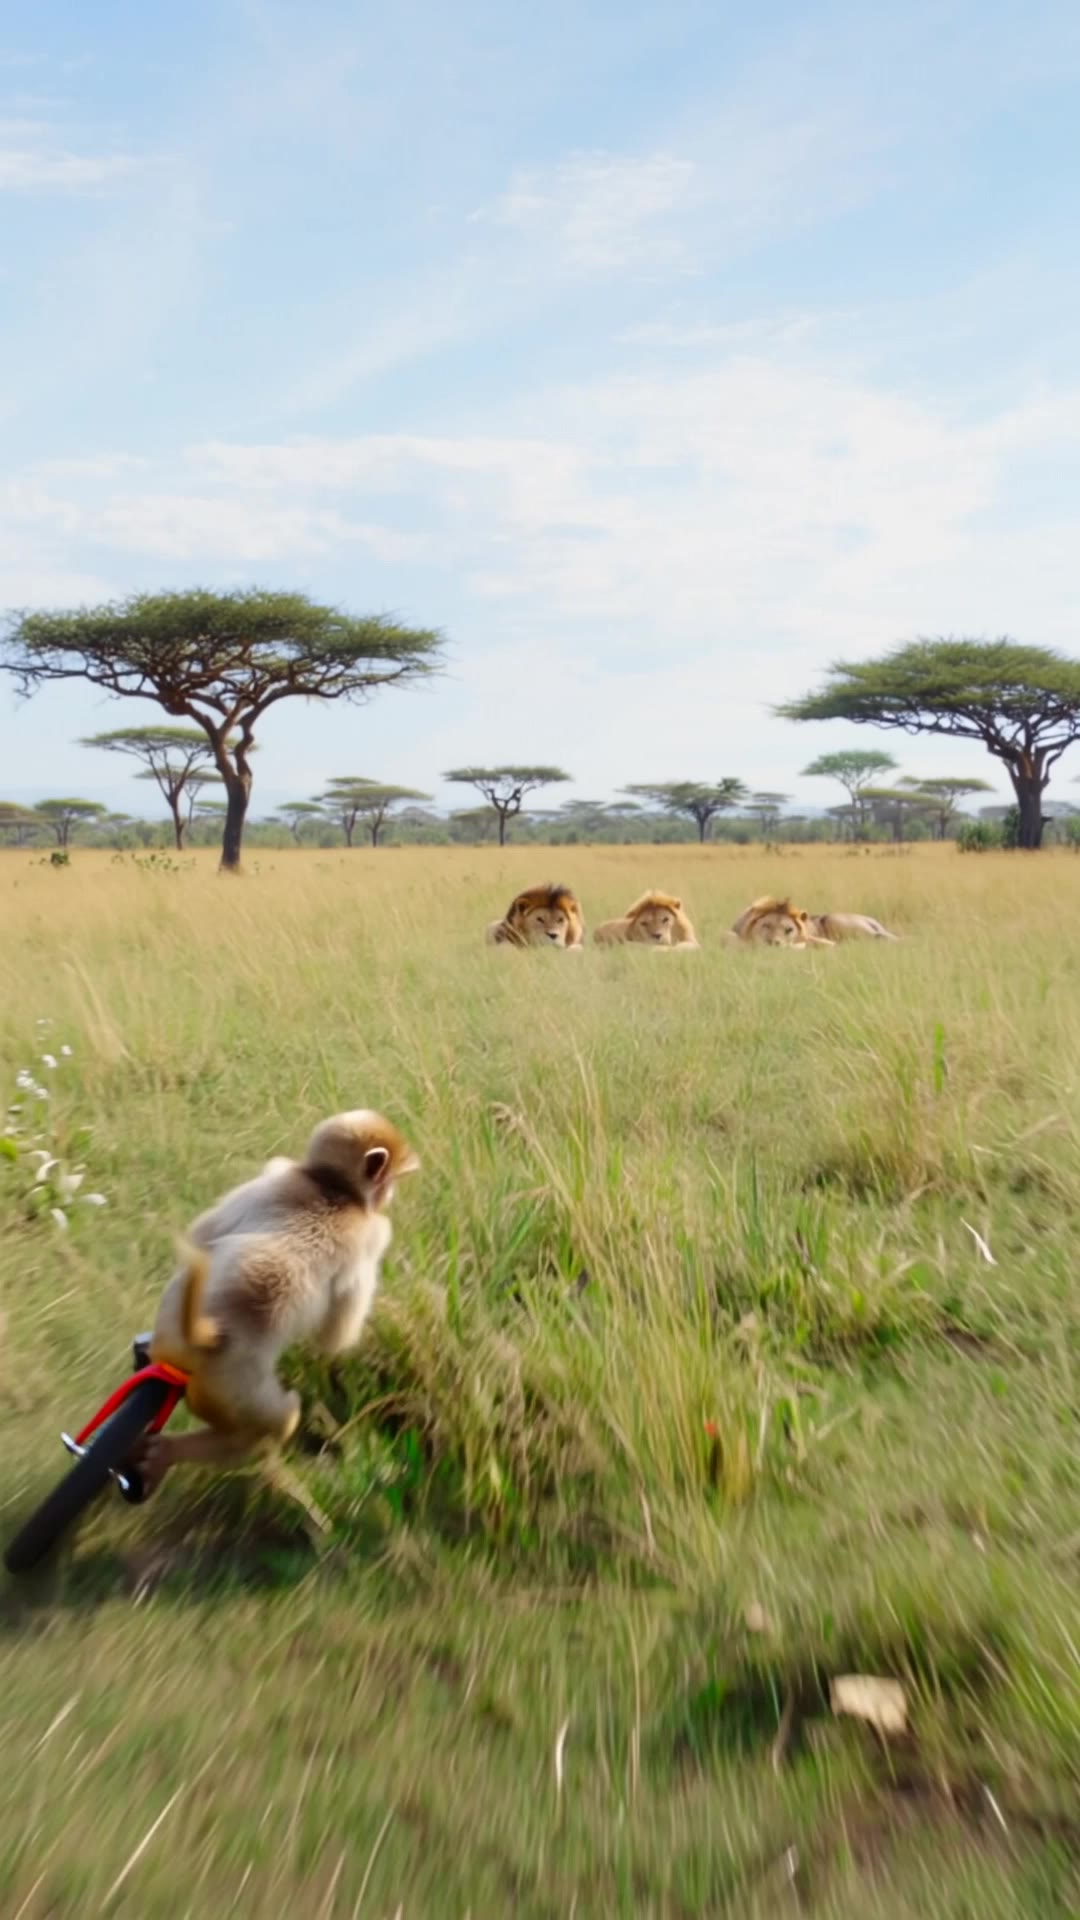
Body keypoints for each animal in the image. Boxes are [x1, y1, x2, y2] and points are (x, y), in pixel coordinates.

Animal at [140, 1110, 419, 1490]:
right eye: (389, 1182)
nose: (387, 1196)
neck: (332, 1188)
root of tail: (207, 1335)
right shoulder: (374, 1232)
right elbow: (336, 1338)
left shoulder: (275, 1175)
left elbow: (202, 1236)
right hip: (238, 1392)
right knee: (278, 1421)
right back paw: (172, 1454)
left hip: (172, 1336)